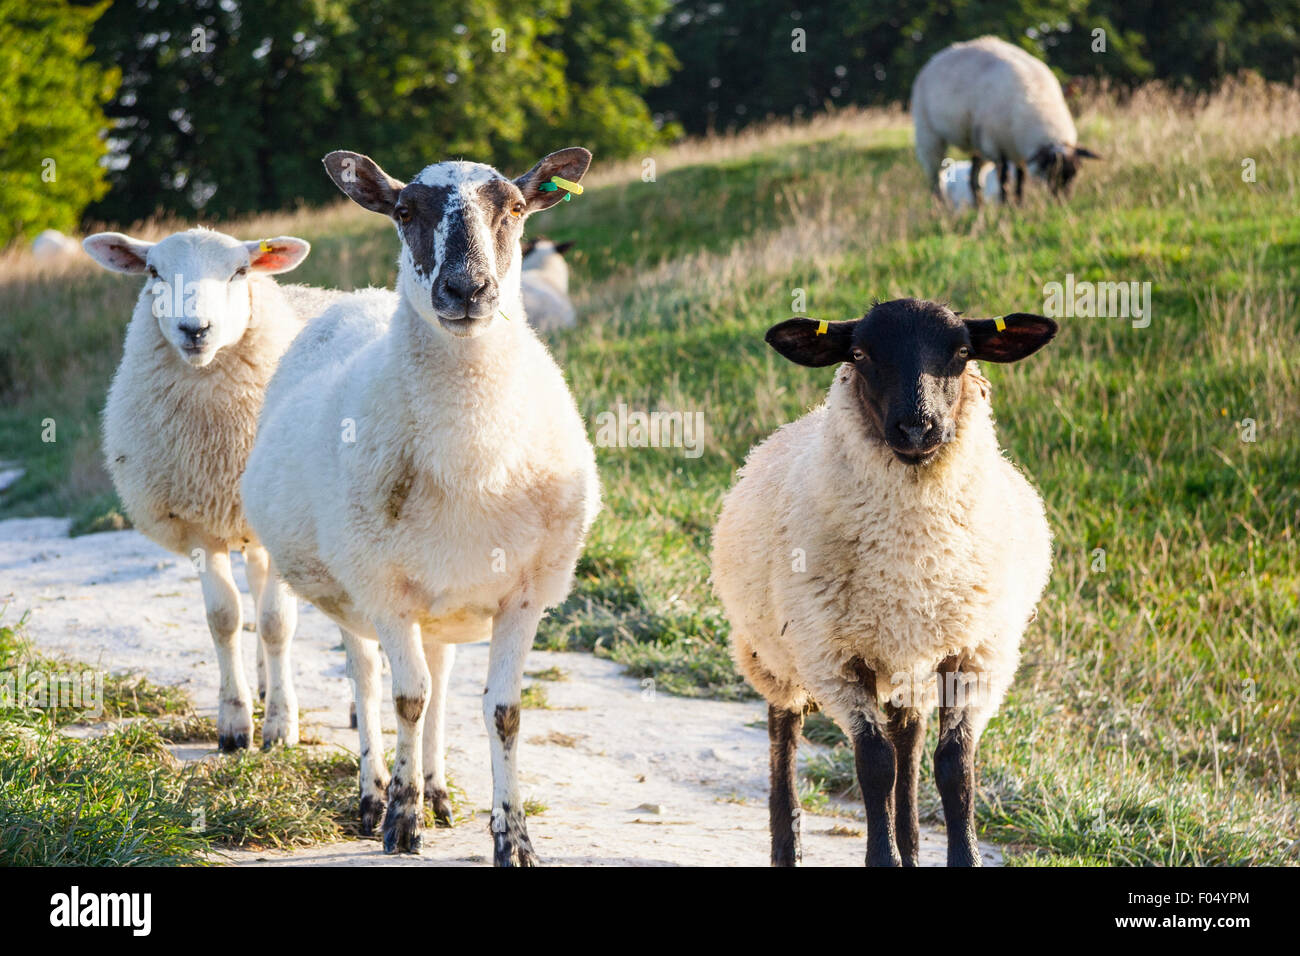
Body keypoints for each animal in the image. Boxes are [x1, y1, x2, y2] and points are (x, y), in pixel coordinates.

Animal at [83, 227, 312, 749]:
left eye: (240, 271)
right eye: (153, 271)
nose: (195, 329)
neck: (218, 447)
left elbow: (277, 622)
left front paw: (280, 725)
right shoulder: (197, 525)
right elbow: (224, 619)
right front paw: (234, 725)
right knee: (255, 584)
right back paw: (263, 683)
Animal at [243, 145, 598, 863]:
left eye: (514, 207)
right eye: (405, 211)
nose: (467, 291)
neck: (473, 464)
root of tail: (360, 299)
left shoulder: (525, 594)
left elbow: (502, 713)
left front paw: (513, 836)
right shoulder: (385, 590)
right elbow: (405, 700)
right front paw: (399, 823)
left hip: (445, 601)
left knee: (438, 686)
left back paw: (437, 792)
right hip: (353, 591)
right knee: (371, 681)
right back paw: (375, 794)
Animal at [712, 297, 1055, 868]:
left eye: (963, 352)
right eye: (859, 353)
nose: (917, 429)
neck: (912, 559)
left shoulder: (975, 652)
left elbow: (954, 765)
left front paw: (959, 857)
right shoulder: (835, 657)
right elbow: (874, 765)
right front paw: (883, 858)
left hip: (908, 661)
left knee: (909, 739)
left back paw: (912, 845)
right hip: (776, 655)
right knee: (785, 732)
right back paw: (789, 847)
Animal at [909, 35, 1102, 204]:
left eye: (1075, 172)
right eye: (1051, 171)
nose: (1062, 202)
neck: (1039, 103)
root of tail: (937, 57)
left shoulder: (1017, 152)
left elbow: (1020, 181)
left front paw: (1019, 205)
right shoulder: (995, 146)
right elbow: (1004, 180)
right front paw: (1005, 207)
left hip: (977, 144)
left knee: (973, 180)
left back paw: (978, 208)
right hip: (928, 133)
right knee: (934, 177)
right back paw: (939, 208)